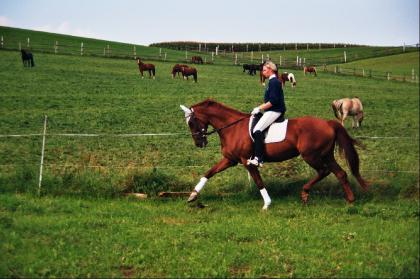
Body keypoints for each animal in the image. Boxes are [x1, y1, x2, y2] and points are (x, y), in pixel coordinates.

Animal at [180, 99, 368, 211]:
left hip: (311, 155)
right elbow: (209, 173)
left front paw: (267, 204)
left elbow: (258, 181)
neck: (232, 127)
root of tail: (329, 123)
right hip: (326, 155)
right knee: (340, 173)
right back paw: (350, 200)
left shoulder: (247, 162)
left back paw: (305, 193)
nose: (199, 143)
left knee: (324, 171)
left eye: (191, 122)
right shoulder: (230, 160)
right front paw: (192, 196)